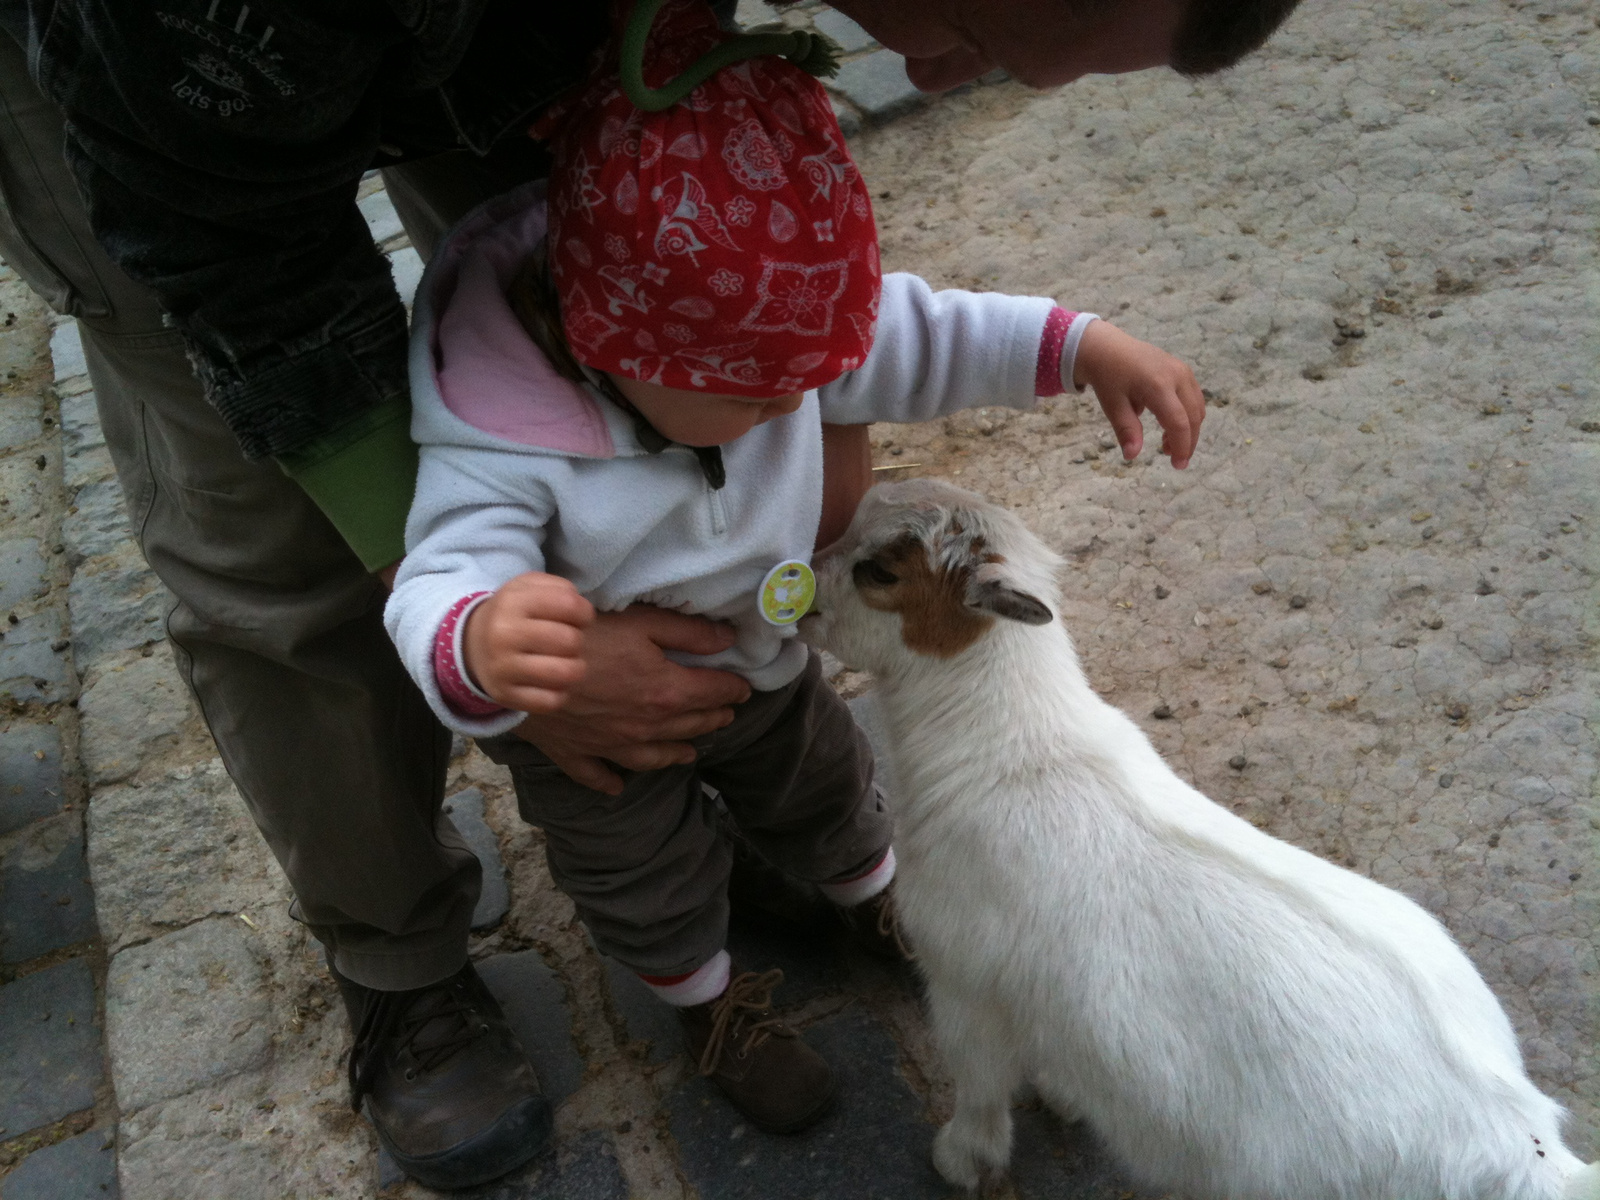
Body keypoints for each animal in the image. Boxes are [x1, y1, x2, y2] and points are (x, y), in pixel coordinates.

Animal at [806, 483, 1593, 1200]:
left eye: (879, 571)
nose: (802, 586)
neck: (1011, 745)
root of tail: (1514, 1141)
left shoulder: (963, 979)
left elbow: (978, 1084)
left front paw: (961, 1159)